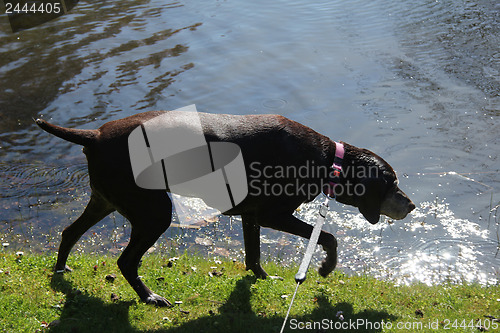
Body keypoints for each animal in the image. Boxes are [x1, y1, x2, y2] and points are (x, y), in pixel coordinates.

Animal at [36, 111, 414, 306]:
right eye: (392, 183)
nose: (411, 205)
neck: (326, 161)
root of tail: (95, 135)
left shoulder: (251, 215)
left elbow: (253, 255)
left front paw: (261, 278)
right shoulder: (272, 215)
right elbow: (329, 237)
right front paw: (325, 268)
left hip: (105, 200)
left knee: (69, 232)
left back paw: (61, 270)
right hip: (154, 212)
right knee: (125, 261)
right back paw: (149, 296)